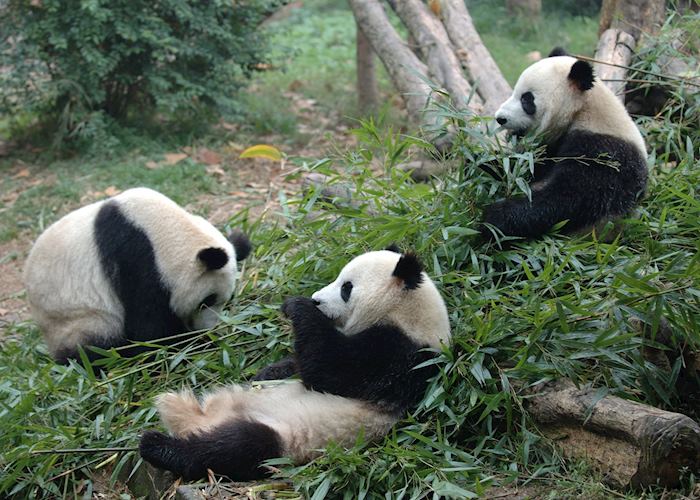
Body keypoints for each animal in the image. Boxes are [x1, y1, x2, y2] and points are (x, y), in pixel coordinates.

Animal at [23, 187, 251, 364]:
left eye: (228, 299)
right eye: (207, 300)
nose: (209, 329)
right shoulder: (136, 261)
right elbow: (151, 330)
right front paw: (191, 346)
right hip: (76, 319)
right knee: (94, 347)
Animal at [138, 248, 451, 481]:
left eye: (346, 288)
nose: (317, 299)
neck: (407, 316)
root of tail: (203, 418)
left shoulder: (402, 356)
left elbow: (334, 370)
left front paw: (297, 307)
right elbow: (300, 365)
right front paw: (267, 371)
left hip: (284, 438)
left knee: (233, 448)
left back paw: (157, 445)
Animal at [483, 47, 648, 239]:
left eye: (526, 99)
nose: (500, 118)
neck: (583, 110)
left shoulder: (605, 152)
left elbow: (571, 199)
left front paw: (494, 218)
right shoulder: (552, 146)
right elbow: (526, 168)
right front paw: (482, 163)